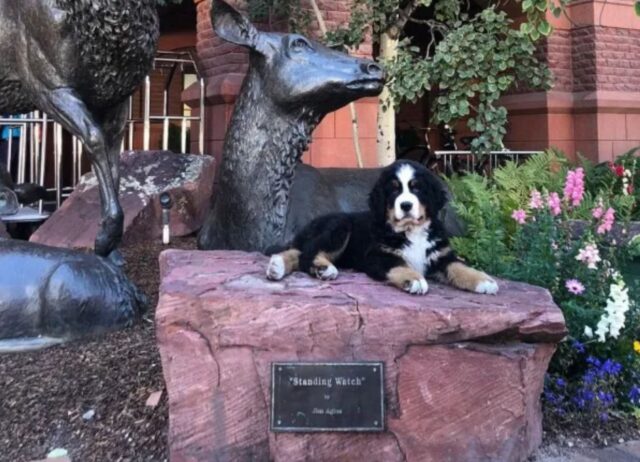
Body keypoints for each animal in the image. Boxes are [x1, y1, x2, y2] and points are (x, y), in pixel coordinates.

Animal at [264, 160, 500, 296]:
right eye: (394, 190)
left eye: (417, 189)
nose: (406, 205)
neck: (411, 231)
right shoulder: (377, 256)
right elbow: (399, 265)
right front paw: (414, 279)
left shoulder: (440, 255)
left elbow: (460, 267)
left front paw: (485, 280)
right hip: (340, 226)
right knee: (308, 253)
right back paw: (322, 268)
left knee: (300, 251)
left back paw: (277, 266)